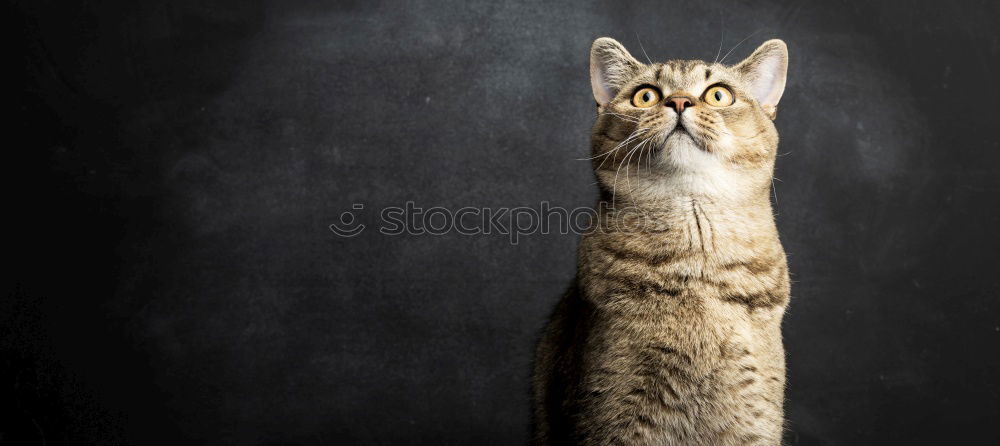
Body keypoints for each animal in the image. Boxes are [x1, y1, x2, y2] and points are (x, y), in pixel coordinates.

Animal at [532, 38, 788, 446]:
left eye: (719, 94)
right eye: (646, 95)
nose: (680, 101)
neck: (697, 272)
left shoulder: (756, 414)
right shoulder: (616, 407)